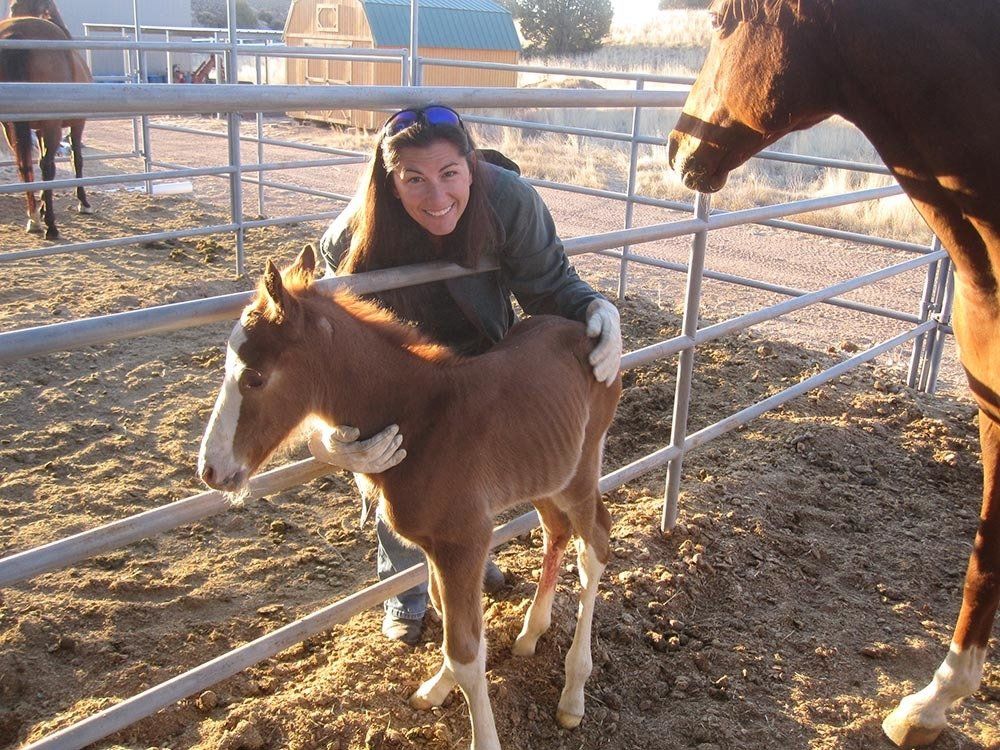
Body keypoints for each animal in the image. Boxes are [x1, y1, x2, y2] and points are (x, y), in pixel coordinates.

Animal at [0, 0, 92, 240]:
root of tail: (16, 35)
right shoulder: (77, 123)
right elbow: (76, 159)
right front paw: (84, 203)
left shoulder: (40, 129)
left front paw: (41, 207)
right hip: (52, 126)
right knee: (46, 166)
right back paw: (50, 225)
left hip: (10, 125)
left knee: (25, 165)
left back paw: (34, 219)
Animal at [197, 245, 623, 749]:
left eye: (255, 378)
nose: (210, 470)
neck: (420, 417)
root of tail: (585, 332)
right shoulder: (436, 546)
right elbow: (443, 613)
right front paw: (435, 688)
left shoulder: (464, 541)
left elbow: (465, 650)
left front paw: (481, 734)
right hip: (545, 475)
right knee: (556, 532)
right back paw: (529, 635)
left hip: (579, 473)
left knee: (594, 547)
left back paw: (573, 691)